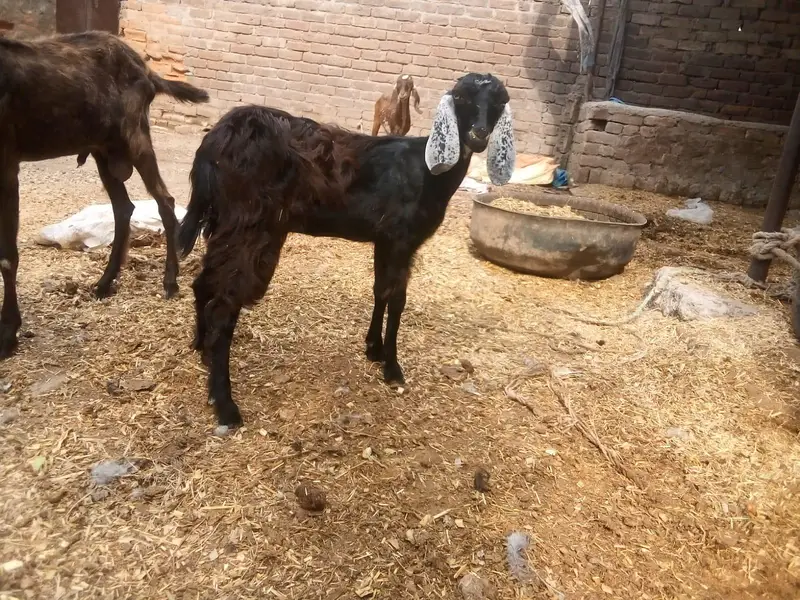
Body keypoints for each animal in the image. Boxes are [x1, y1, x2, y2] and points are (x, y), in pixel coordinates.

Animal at [0, 31, 209, 359]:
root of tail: (144, 68)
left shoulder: (7, 166)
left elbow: (7, 257)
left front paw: (8, 334)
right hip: (103, 150)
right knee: (124, 207)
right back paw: (105, 283)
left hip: (135, 138)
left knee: (165, 201)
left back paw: (170, 282)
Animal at [178, 72, 516, 427]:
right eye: (461, 99)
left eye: (498, 102)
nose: (478, 135)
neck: (426, 171)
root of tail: (214, 142)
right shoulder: (402, 239)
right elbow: (397, 299)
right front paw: (393, 368)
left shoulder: (384, 239)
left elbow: (380, 291)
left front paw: (373, 349)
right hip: (250, 226)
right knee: (224, 306)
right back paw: (226, 406)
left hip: (223, 222)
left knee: (203, 283)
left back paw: (202, 349)